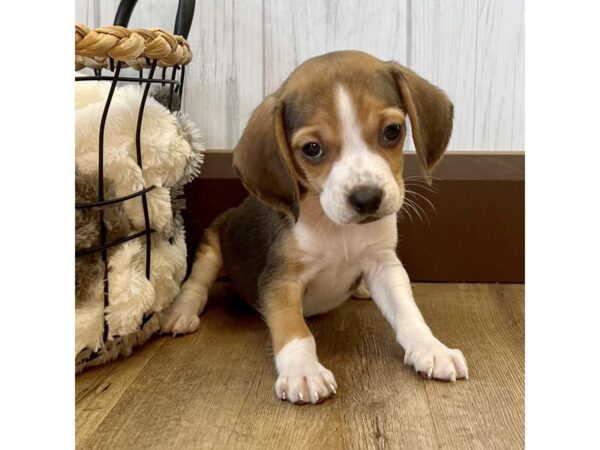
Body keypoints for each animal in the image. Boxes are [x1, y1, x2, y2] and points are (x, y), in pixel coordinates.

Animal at [163, 50, 468, 404]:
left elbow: (408, 312)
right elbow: (295, 330)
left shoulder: (384, 264)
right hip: (214, 241)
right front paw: (303, 371)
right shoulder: (280, 280)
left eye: (392, 131)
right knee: (197, 281)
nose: (367, 198)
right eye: (312, 149)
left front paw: (431, 348)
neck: (338, 229)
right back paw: (181, 312)